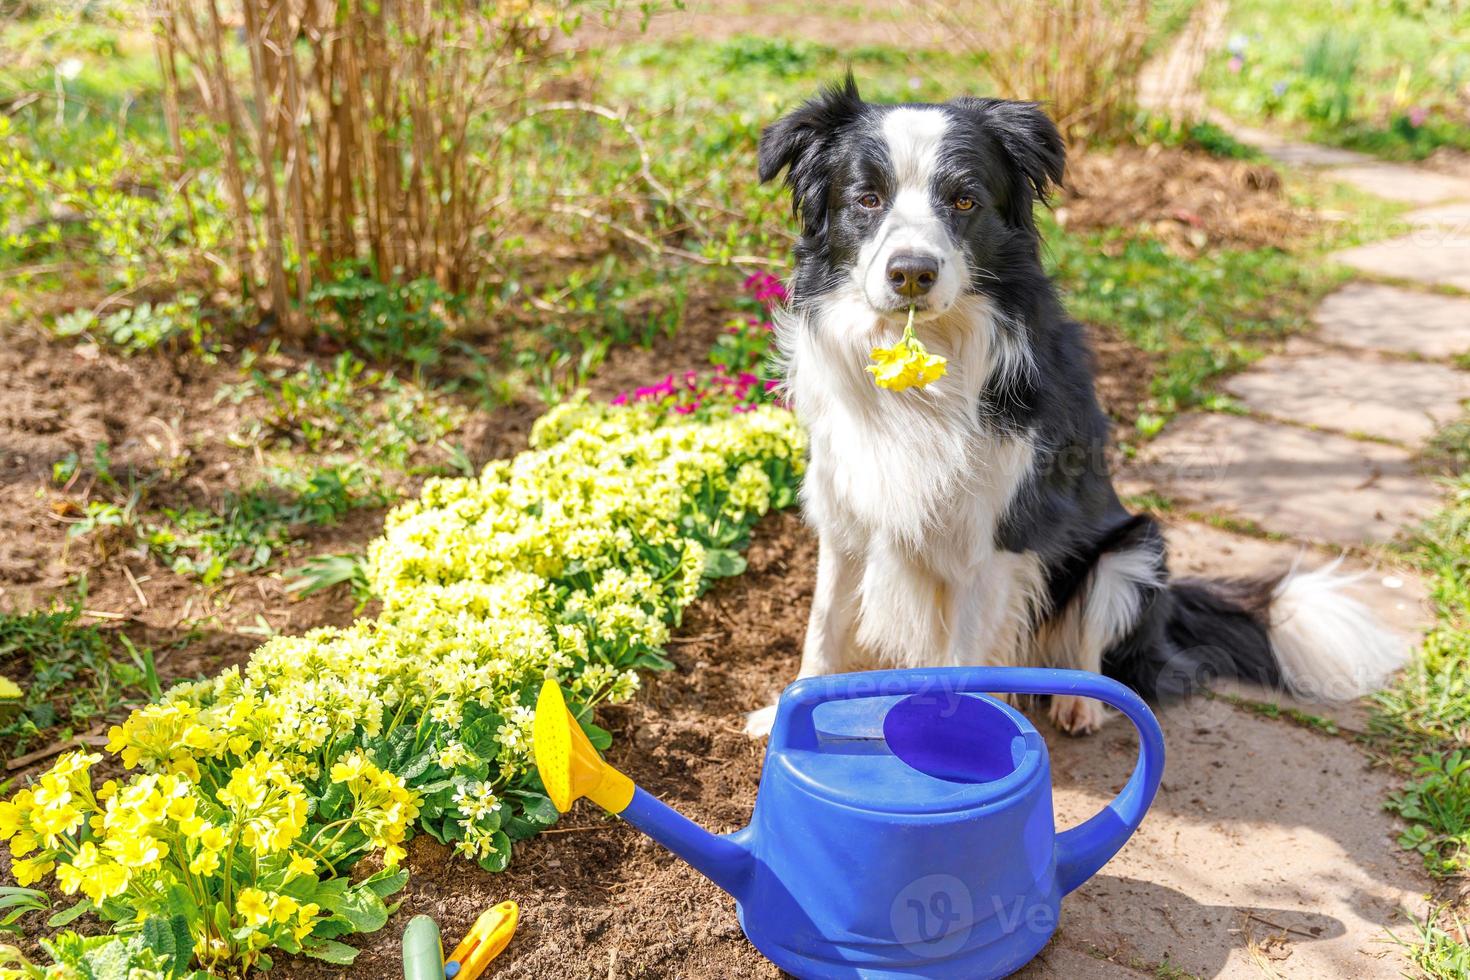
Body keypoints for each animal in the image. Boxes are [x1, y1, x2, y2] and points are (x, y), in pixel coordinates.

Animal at [752, 78, 1405, 734]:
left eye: (964, 201)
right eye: (867, 199)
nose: (912, 273)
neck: (926, 363)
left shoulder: (997, 536)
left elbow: (964, 657)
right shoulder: (845, 510)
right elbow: (825, 624)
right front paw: (784, 713)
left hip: (1132, 550)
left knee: (1093, 650)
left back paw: (1079, 704)